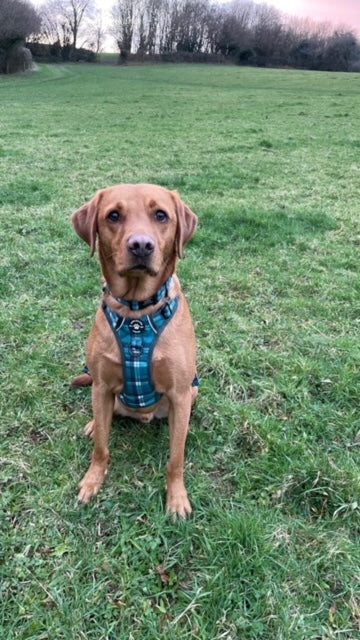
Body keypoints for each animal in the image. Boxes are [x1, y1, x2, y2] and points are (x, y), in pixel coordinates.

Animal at [71, 184, 198, 520]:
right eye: (113, 215)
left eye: (161, 215)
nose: (141, 245)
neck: (137, 312)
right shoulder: (102, 385)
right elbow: (102, 447)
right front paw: (93, 480)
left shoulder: (180, 392)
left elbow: (175, 459)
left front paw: (176, 498)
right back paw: (94, 424)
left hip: (191, 392)